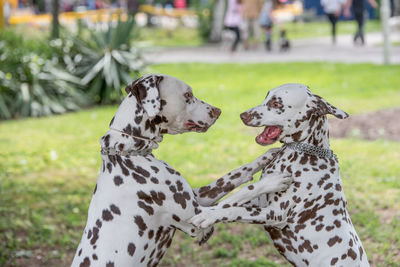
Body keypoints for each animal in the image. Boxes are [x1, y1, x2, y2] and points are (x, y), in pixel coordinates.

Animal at [71, 74, 290, 267]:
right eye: (187, 95)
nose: (218, 110)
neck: (127, 153)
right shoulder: (196, 216)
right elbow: (236, 197)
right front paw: (273, 181)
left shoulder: (199, 196)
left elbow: (233, 176)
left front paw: (268, 155)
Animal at [192, 84, 370, 267]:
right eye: (266, 97)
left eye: (276, 104)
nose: (243, 115)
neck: (304, 154)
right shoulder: (259, 202)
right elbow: (232, 199)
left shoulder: (274, 213)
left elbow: (234, 209)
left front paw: (208, 216)